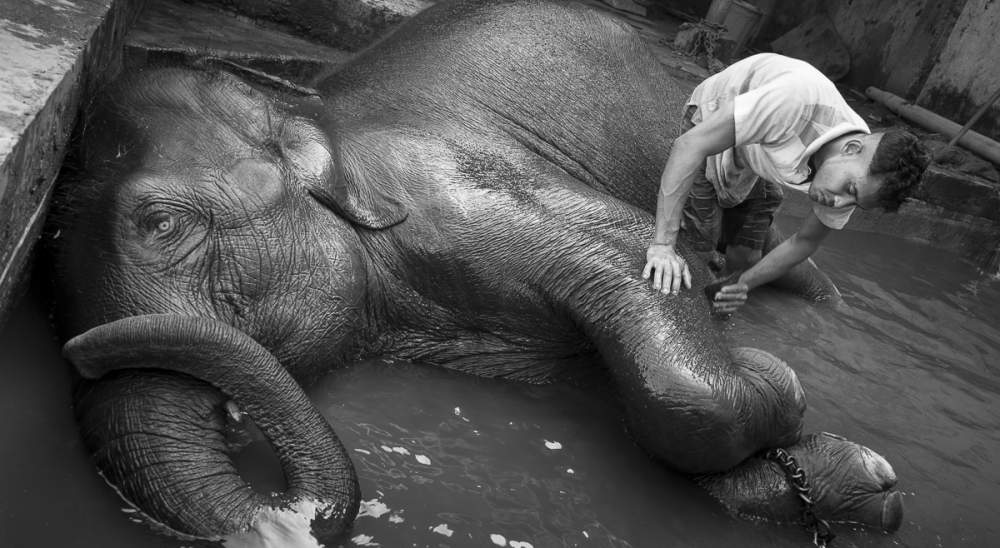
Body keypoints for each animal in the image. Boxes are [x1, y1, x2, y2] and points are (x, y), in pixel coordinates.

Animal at [45, 0, 900, 544]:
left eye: (162, 224)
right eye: (49, 273)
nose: (80, 350)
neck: (313, 114)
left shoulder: (464, 194)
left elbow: (643, 266)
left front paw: (776, 379)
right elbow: (602, 385)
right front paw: (858, 478)